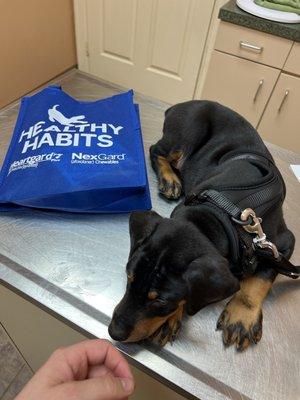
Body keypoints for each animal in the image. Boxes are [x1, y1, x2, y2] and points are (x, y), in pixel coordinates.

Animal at [108, 100, 298, 350]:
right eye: (129, 278)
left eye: (161, 301)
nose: (114, 333)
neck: (221, 215)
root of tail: (184, 104)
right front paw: (171, 321)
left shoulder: (281, 245)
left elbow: (261, 277)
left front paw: (242, 317)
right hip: (189, 130)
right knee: (155, 149)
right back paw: (170, 179)